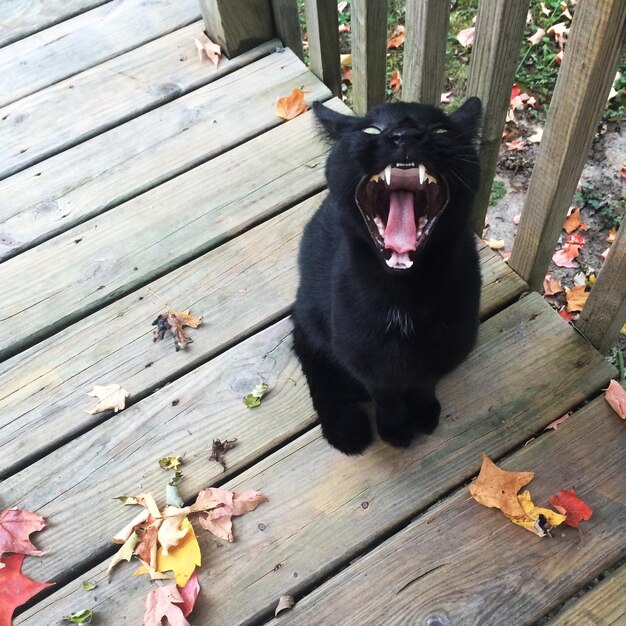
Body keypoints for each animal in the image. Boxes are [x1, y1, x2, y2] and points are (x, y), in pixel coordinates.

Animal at [292, 97, 482, 454]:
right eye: (370, 130)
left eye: (441, 130)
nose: (405, 134)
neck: (403, 298)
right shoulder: (363, 358)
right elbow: (385, 394)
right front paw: (395, 430)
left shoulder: (443, 349)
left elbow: (424, 382)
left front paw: (424, 413)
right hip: (311, 312)